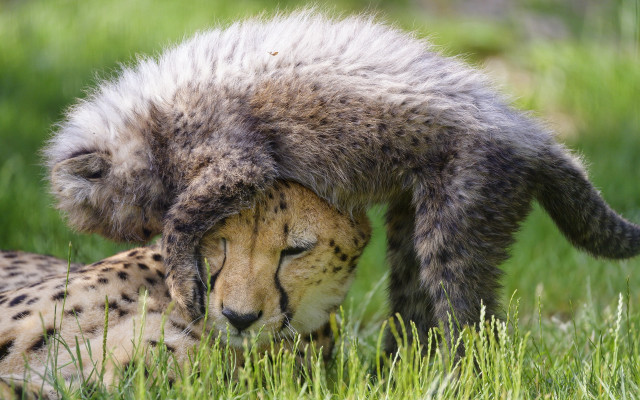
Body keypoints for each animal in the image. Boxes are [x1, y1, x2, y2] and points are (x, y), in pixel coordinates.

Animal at [44, 10, 640, 351]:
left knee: (470, 315)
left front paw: (181, 278)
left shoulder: (238, 158)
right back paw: (403, 368)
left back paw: (458, 371)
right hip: (412, 218)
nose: (134, 234)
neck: (150, 116)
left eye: (130, 219)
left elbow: (185, 217)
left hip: (459, 217)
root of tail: (533, 133)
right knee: (416, 302)